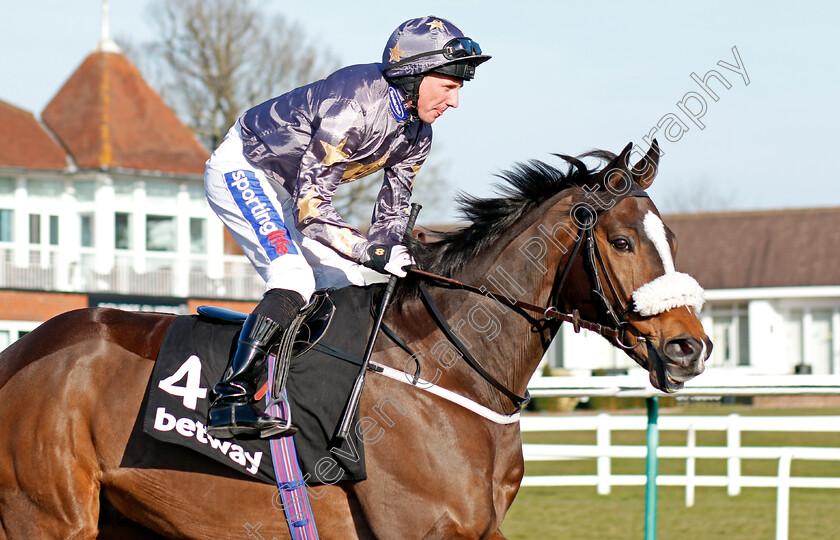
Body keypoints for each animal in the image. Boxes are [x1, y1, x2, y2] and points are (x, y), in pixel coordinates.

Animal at [0, 141, 708, 536]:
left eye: (670, 236)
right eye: (622, 241)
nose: (690, 347)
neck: (445, 370)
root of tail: (20, 352)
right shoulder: (422, 529)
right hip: (49, 516)